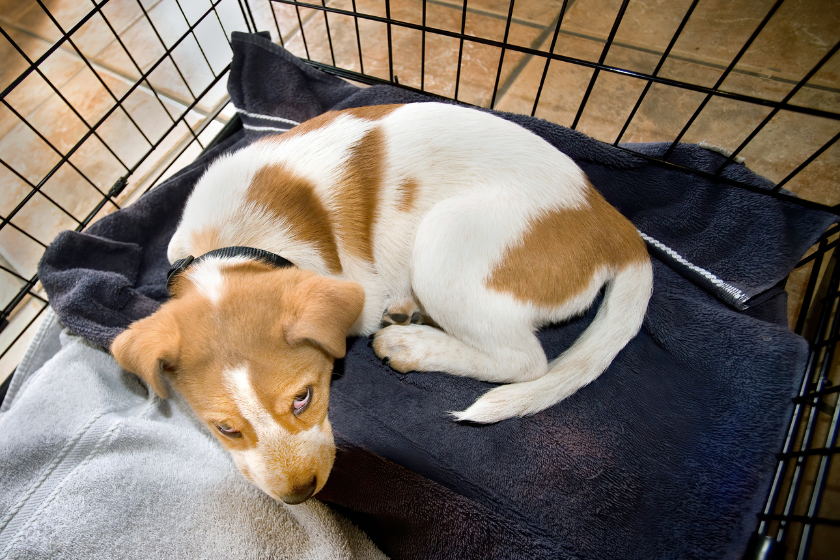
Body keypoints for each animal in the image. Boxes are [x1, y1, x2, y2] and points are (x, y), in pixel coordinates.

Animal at [110, 103, 648, 506]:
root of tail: (612, 223)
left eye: (304, 398)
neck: (237, 242)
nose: (300, 496)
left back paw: (410, 343)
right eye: (225, 429)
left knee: (524, 360)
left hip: (444, 240)